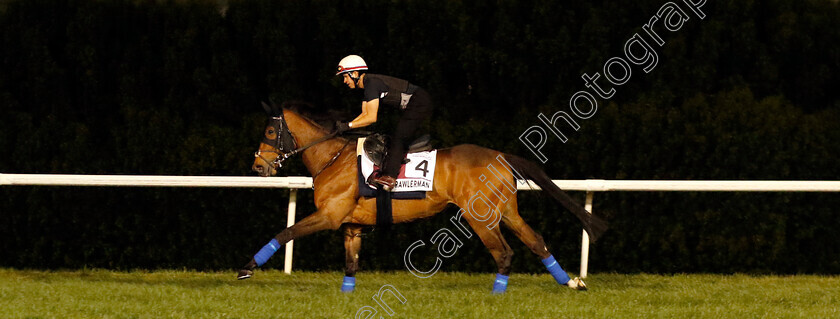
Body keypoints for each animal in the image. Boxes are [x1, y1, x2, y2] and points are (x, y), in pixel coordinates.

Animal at [240, 102, 608, 296]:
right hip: (506, 210)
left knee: (504, 252)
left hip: (479, 215)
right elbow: (351, 264)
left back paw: (497, 294)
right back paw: (571, 282)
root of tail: (500, 156)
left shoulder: (329, 216)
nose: (258, 166)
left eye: (270, 132)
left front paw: (247, 267)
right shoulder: (351, 225)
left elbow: (284, 233)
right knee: (536, 241)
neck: (332, 157)